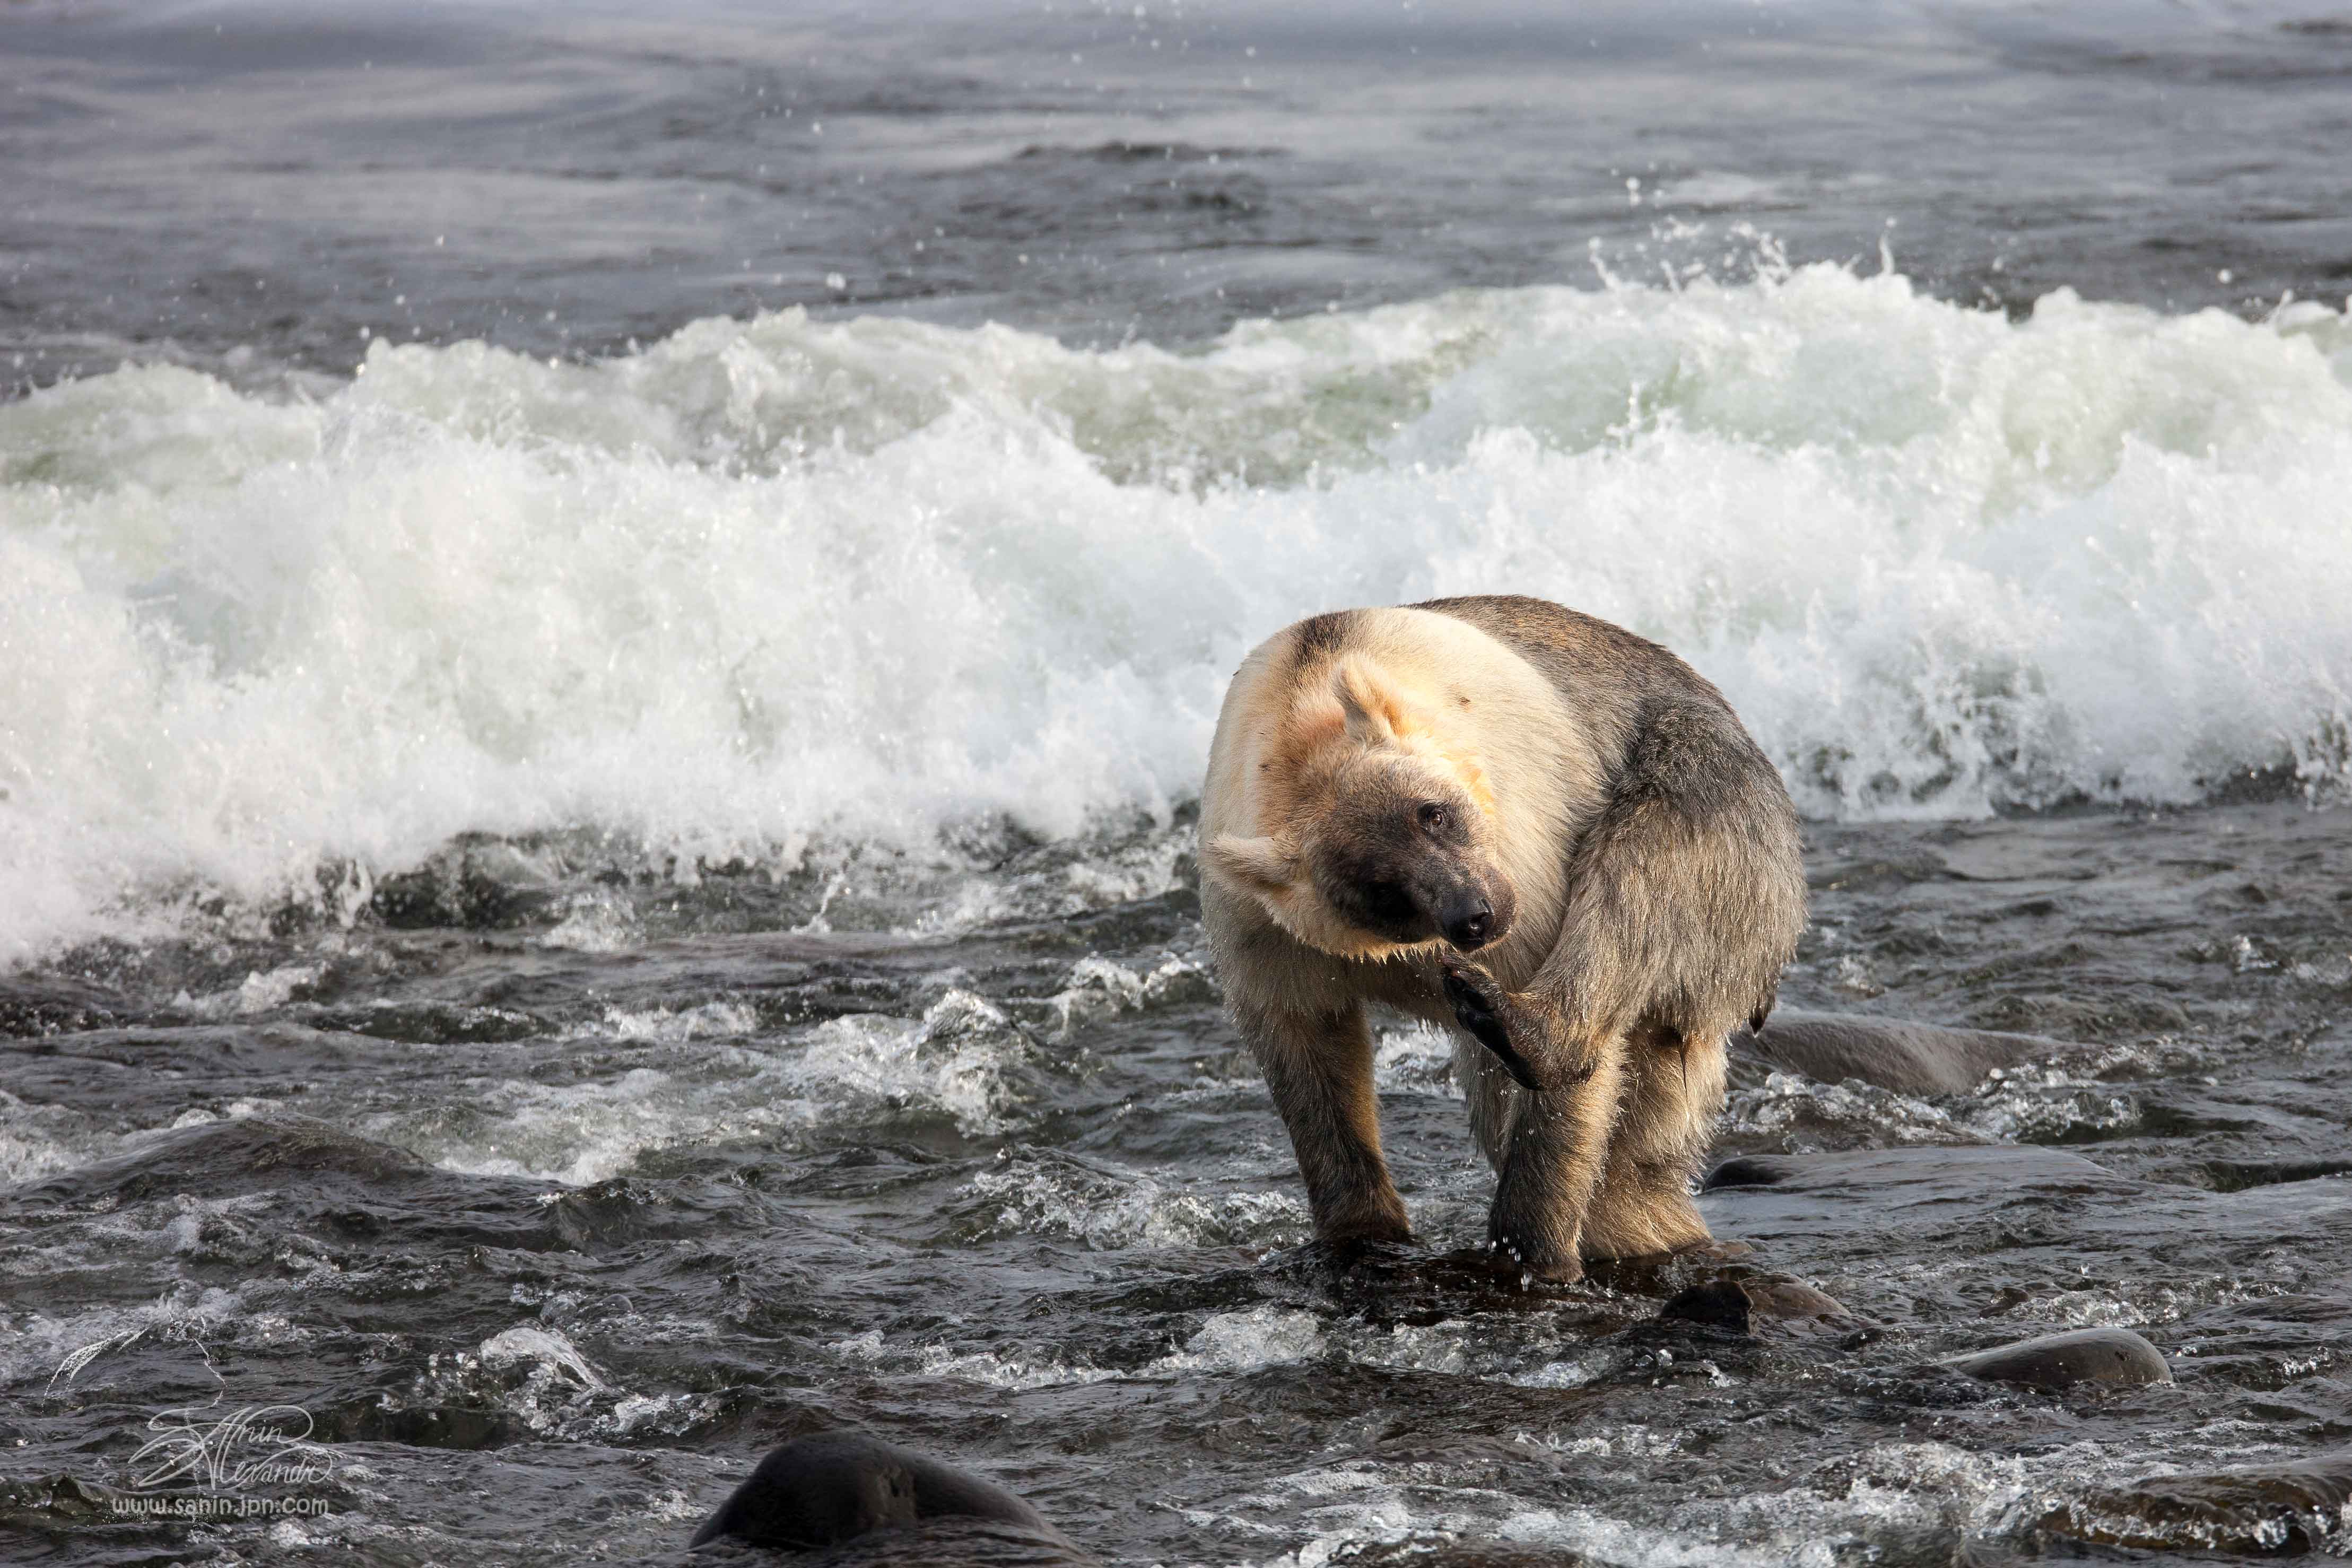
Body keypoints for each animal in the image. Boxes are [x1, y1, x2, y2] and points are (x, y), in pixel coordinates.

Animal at [1204, 595, 1806, 1278]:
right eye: (1381, 887)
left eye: (1432, 813)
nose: (1476, 914)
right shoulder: (1268, 932)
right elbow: (1308, 1057)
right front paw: (1360, 1229)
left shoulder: (1531, 844)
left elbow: (1575, 1082)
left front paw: (1530, 1243)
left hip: (1726, 833)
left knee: (1643, 874)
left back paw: (1519, 1026)